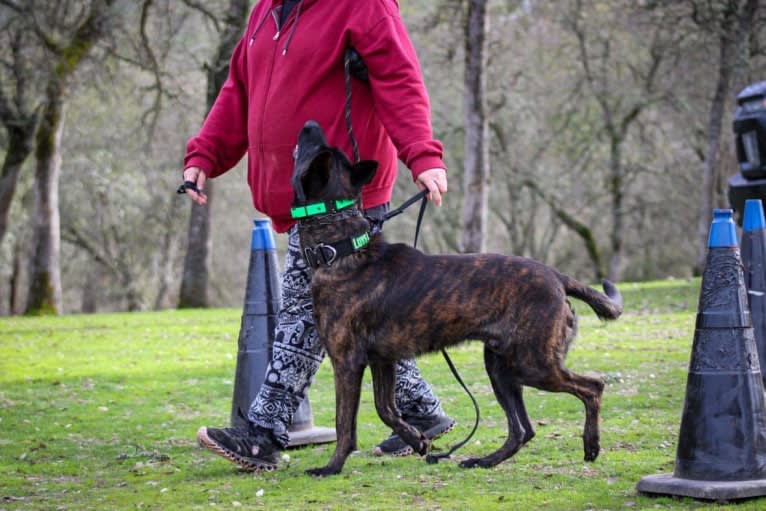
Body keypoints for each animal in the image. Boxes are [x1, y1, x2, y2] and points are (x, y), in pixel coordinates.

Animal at [294, 121, 624, 480]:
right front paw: (417, 439)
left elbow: (345, 424)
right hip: (501, 367)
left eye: (312, 150)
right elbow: (386, 408)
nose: (309, 124)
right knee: (522, 431)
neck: (341, 247)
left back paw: (591, 444)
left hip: (532, 364)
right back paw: (484, 460)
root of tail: (557, 276)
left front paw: (332, 466)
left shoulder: (347, 362)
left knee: (593, 387)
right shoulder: (384, 360)